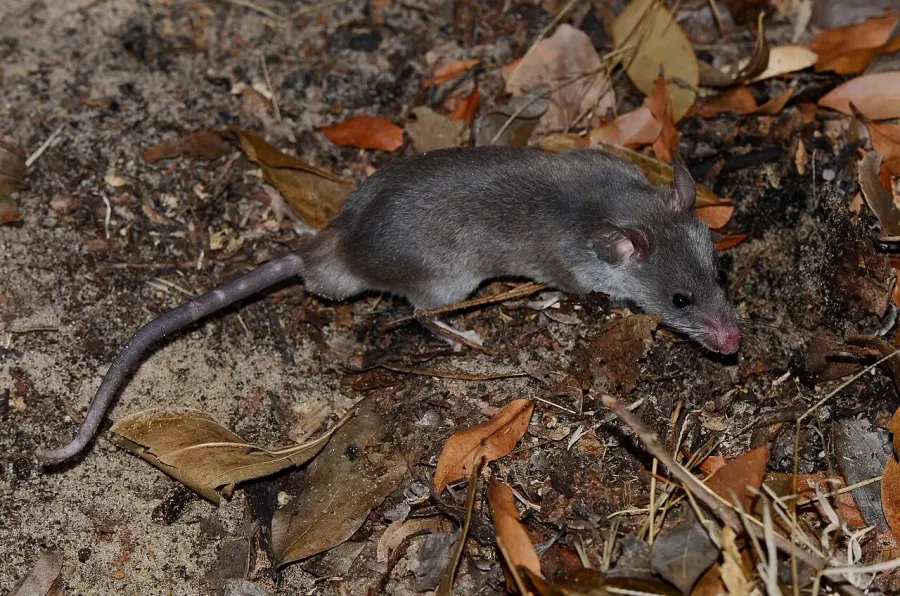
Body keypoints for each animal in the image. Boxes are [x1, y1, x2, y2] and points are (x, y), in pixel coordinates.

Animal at [35, 146, 740, 463]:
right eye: (679, 298)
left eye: (719, 271)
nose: (735, 345)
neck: (610, 210)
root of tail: (334, 252)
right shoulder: (571, 272)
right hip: (449, 282)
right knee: (421, 317)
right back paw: (469, 340)